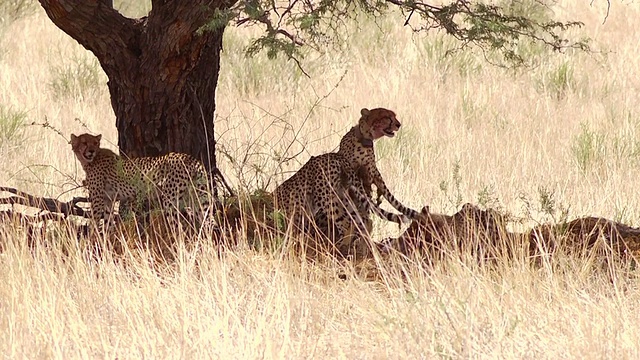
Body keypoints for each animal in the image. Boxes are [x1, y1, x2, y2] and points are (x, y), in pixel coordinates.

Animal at [71, 134, 214, 226]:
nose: (91, 150)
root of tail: (190, 159)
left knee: (178, 227)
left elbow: (94, 223)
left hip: (170, 201)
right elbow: (107, 222)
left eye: (95, 143)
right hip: (197, 199)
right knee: (209, 222)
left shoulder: (97, 200)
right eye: (84, 143)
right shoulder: (108, 200)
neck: (91, 160)